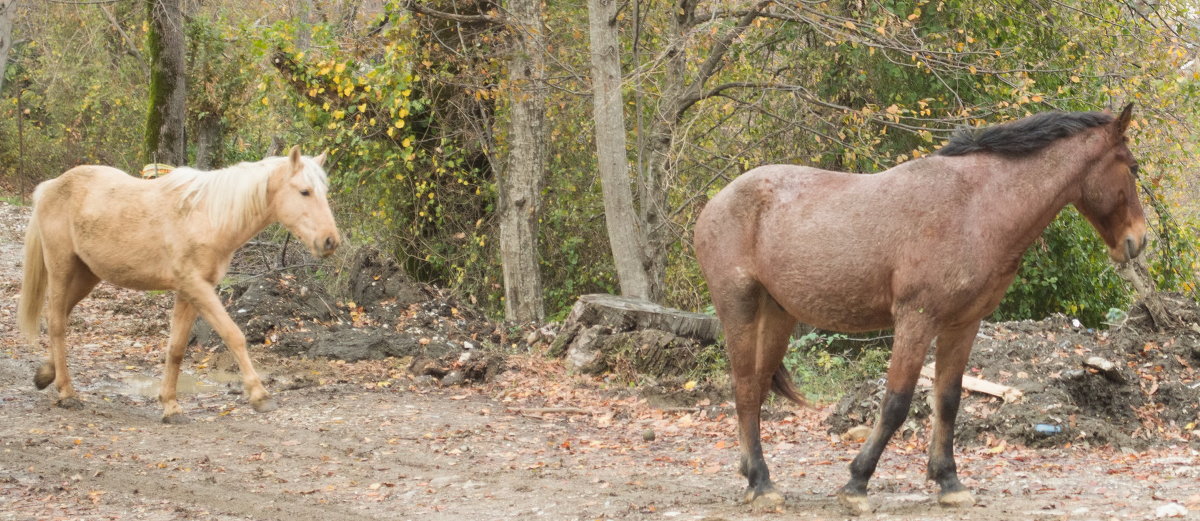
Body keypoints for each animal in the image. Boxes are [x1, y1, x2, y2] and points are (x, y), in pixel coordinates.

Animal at [17, 145, 343, 422]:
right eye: (304, 191)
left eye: (324, 192)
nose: (330, 241)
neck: (207, 216)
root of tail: (51, 186)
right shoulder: (197, 288)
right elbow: (234, 335)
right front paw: (260, 395)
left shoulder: (189, 293)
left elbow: (176, 348)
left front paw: (170, 406)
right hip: (61, 268)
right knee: (56, 323)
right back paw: (67, 393)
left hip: (87, 275)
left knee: (59, 316)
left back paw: (46, 375)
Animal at [700, 103, 1147, 513]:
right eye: (1134, 167)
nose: (1138, 241)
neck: (976, 207)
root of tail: (717, 202)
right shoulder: (916, 320)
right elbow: (896, 403)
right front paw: (857, 483)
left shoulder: (963, 324)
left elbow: (948, 400)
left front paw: (948, 481)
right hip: (740, 310)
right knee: (744, 388)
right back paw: (761, 484)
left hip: (777, 317)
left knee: (756, 388)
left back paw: (753, 474)